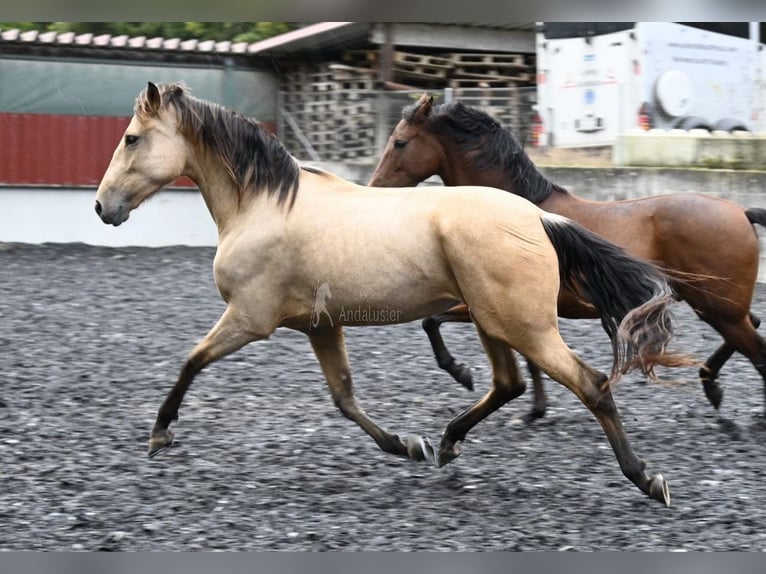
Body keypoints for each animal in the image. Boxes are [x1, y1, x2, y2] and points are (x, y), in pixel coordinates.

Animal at [370, 92, 766, 420]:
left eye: (400, 142)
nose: (375, 189)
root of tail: (741, 212)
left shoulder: (487, 305)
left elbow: (432, 321)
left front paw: (462, 373)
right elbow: (519, 355)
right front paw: (535, 410)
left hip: (719, 307)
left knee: (757, 349)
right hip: (717, 306)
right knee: (752, 328)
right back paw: (711, 385)